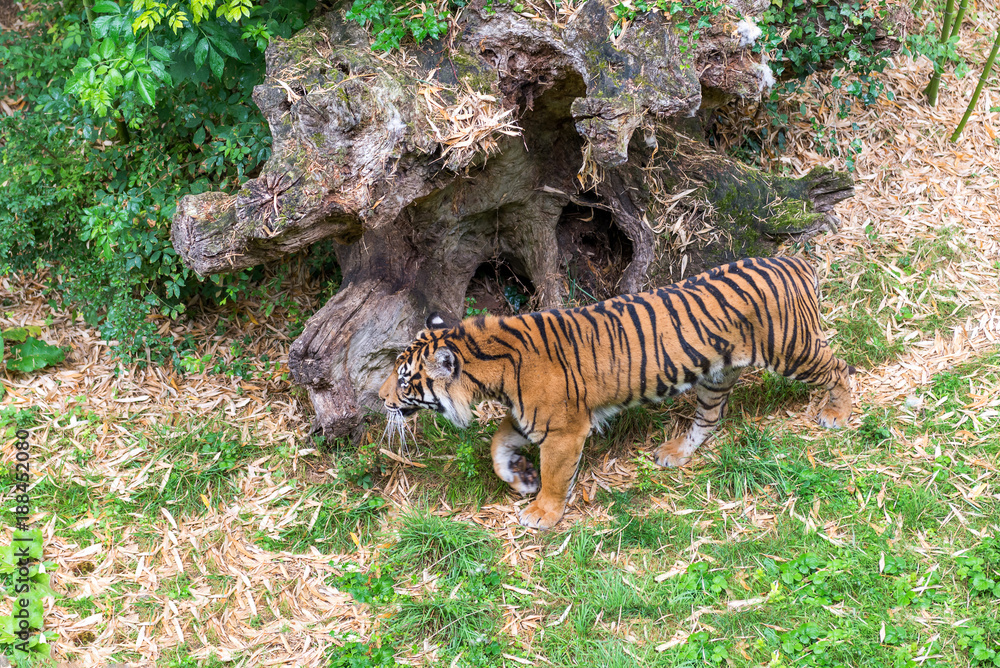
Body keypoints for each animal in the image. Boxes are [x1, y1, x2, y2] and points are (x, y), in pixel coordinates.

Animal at [379, 256, 854, 530]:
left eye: (404, 379)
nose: (381, 399)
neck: (490, 369)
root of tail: (793, 260)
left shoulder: (564, 429)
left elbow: (556, 475)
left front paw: (542, 512)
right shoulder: (530, 417)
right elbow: (497, 445)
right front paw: (521, 477)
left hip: (791, 349)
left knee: (840, 367)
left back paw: (837, 413)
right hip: (717, 374)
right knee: (710, 418)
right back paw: (676, 452)